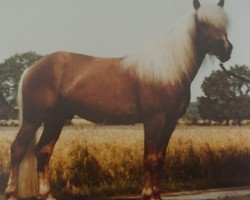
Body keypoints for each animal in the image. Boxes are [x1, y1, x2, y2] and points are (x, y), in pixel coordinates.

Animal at [5, 0, 232, 199]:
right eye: (202, 23)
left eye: (223, 24)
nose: (227, 49)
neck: (166, 70)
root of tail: (32, 68)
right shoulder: (154, 120)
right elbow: (150, 158)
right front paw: (148, 194)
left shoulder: (170, 123)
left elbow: (159, 159)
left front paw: (156, 194)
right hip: (34, 118)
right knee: (18, 150)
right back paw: (11, 193)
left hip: (55, 119)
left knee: (43, 151)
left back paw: (47, 195)